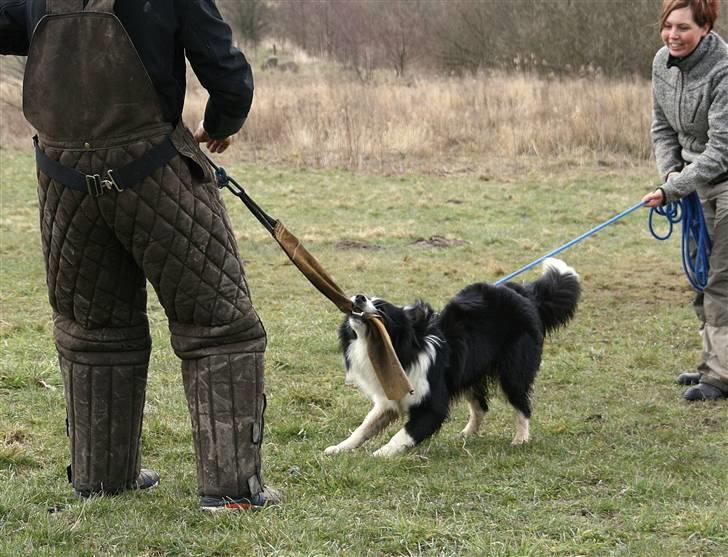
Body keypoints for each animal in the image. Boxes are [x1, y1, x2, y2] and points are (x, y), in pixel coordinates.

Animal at [324, 256, 580, 456]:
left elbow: (405, 433)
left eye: (381, 308)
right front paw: (338, 448)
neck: (399, 349)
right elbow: (364, 427)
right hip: (467, 369)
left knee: (522, 404)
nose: (359, 297)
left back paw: (520, 440)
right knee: (480, 406)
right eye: (368, 298)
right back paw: (466, 435)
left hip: (513, 369)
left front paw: (381, 454)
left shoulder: (431, 402)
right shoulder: (389, 399)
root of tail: (526, 295)